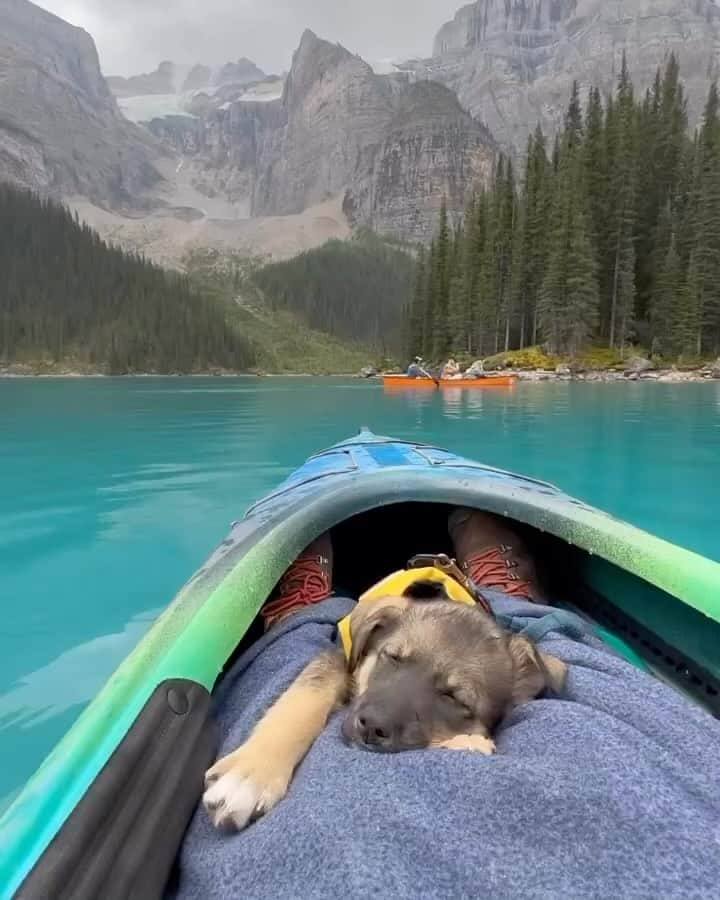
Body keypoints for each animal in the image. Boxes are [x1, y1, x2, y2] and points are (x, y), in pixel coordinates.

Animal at [201, 588, 564, 832]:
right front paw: (251, 774)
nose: (372, 726)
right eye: (392, 657)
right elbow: (302, 700)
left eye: (454, 697)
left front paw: (468, 742)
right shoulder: (337, 660)